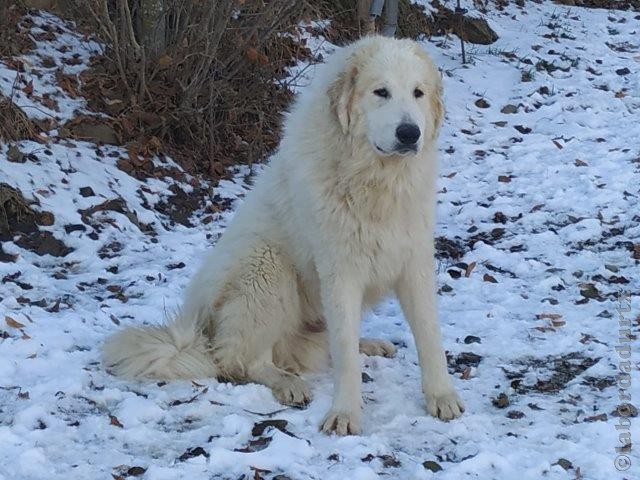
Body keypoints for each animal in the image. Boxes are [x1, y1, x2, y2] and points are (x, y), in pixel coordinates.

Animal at [105, 36, 464, 436]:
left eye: (418, 93)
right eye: (380, 92)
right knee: (238, 359)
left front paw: (441, 396)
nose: (409, 133)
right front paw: (345, 413)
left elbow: (429, 336)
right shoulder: (339, 271)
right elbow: (345, 353)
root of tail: (198, 332)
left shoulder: (414, 261)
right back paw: (287, 382)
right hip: (267, 269)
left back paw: (367, 344)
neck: (375, 181)